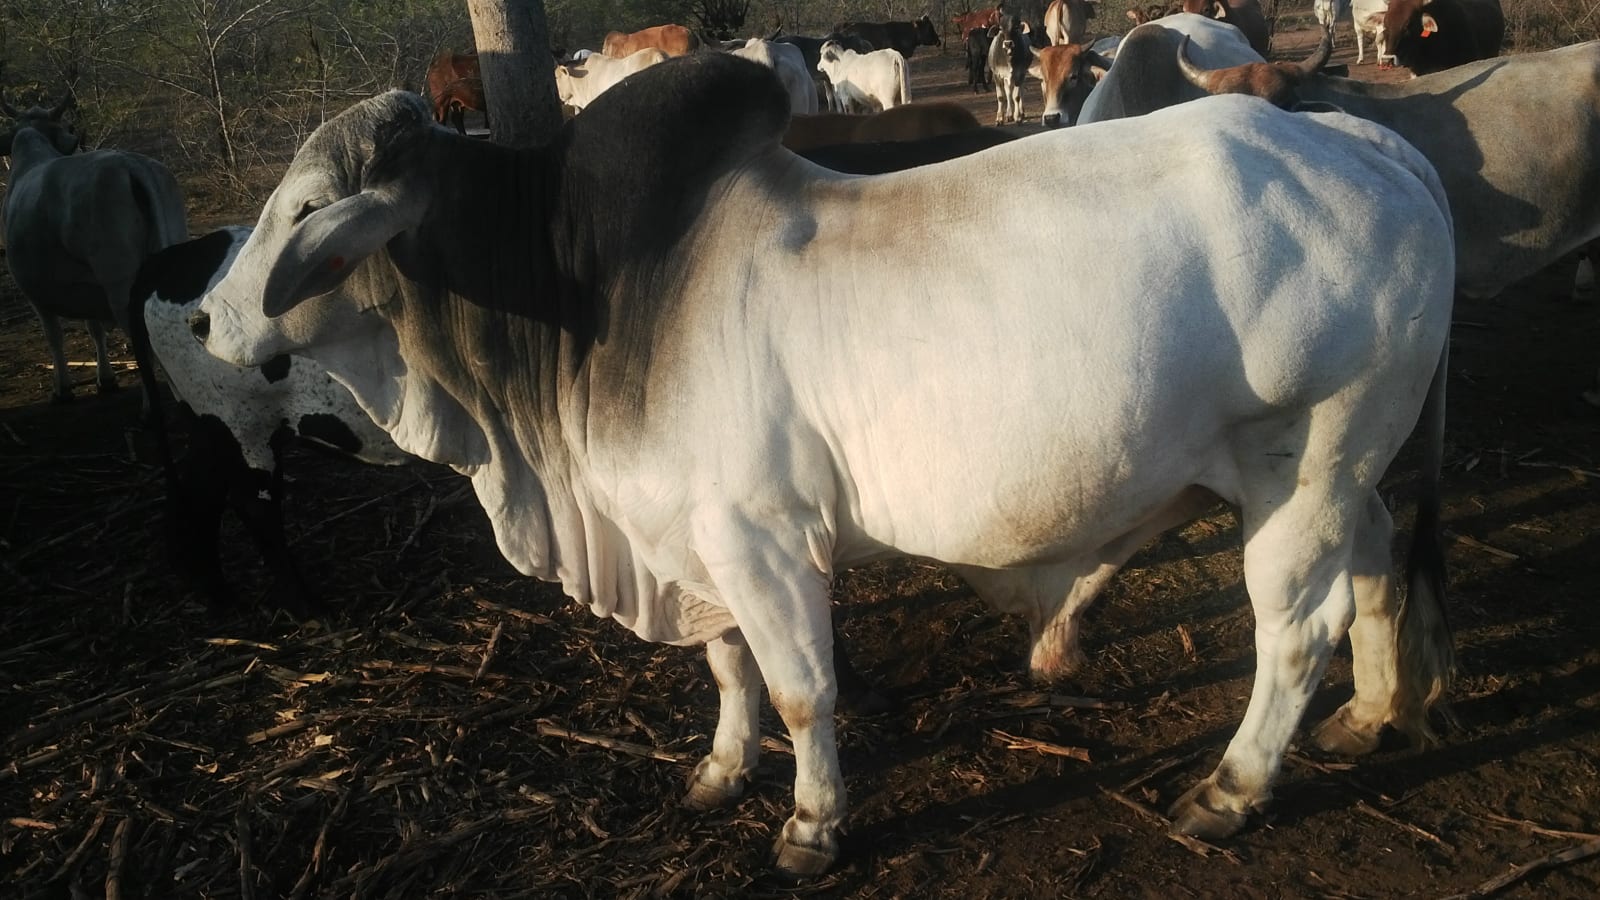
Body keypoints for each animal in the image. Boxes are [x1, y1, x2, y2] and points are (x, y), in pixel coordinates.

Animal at [0, 93, 188, 410]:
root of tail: (130, 164)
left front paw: (62, 389)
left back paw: (151, 407)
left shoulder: (33, 291)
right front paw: (106, 379)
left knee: (144, 340)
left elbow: (54, 336)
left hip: (121, 285)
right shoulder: (86, 285)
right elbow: (95, 328)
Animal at [131, 227, 409, 616]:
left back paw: (214, 590)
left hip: (209, 421)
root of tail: (171, 257)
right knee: (255, 506)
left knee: (199, 494)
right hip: (240, 422)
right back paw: (305, 605)